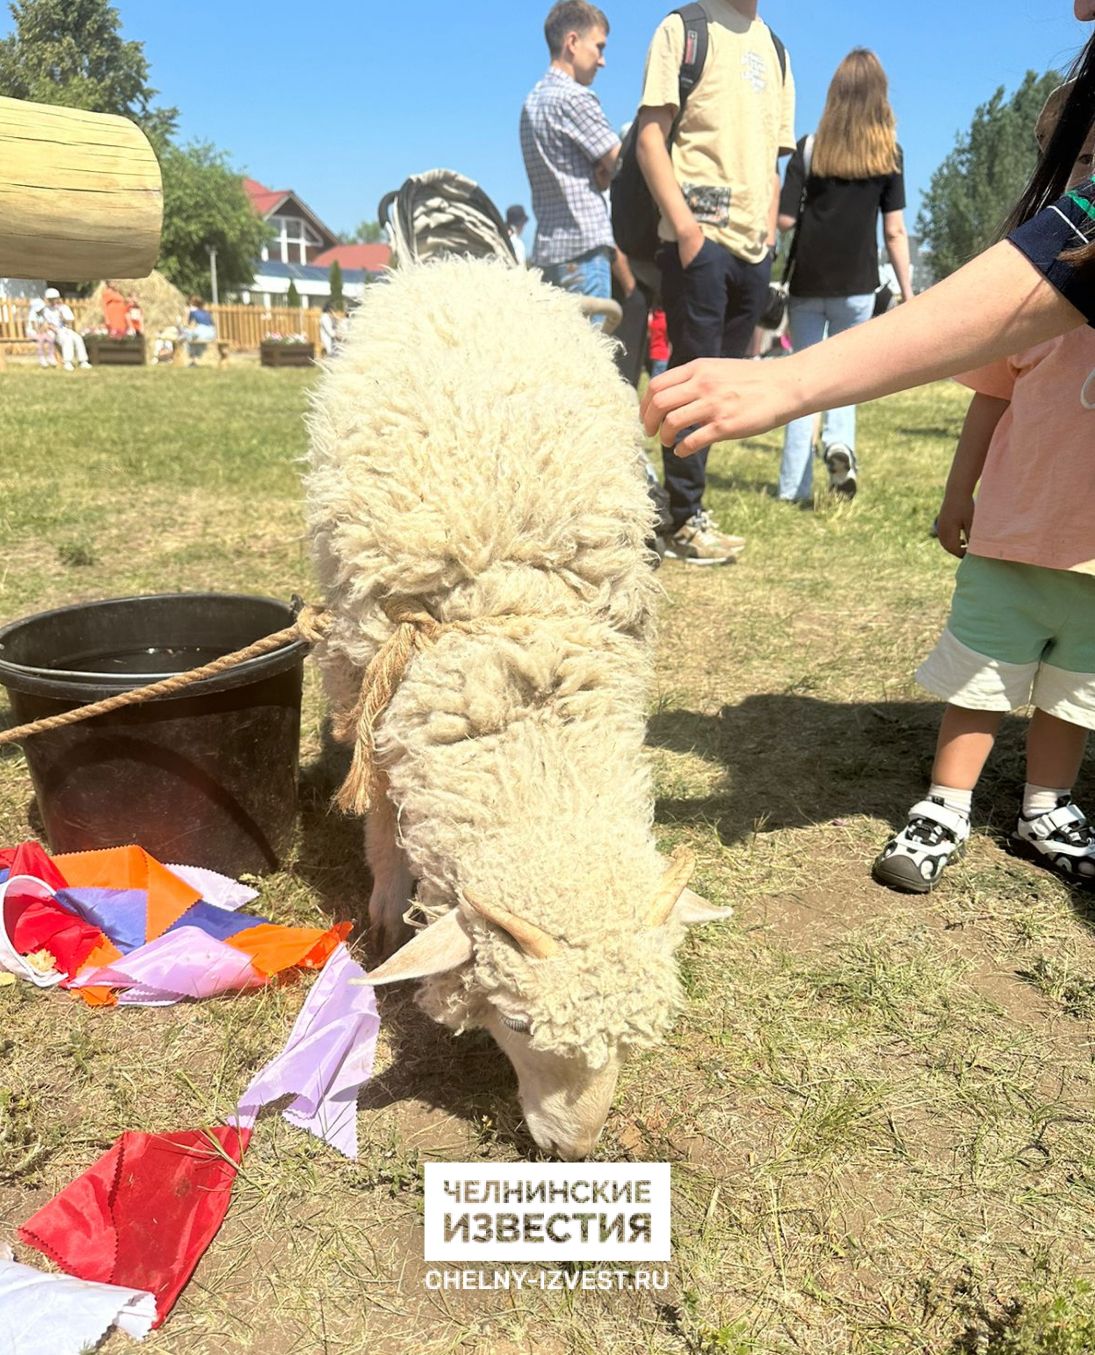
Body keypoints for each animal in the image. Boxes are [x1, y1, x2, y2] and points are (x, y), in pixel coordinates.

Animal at [306, 254, 726, 1154]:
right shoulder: (378, 671)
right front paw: (387, 897)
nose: (574, 1146)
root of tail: (470, 264)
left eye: (633, 1038)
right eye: (521, 1025)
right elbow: (381, 806)